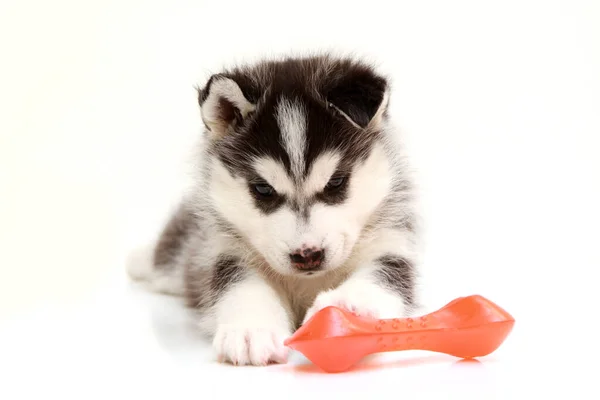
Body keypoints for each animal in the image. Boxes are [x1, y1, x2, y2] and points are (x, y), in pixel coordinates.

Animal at [127, 53, 418, 366]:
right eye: (263, 189)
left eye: (336, 182)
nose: (308, 255)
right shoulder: (227, 254)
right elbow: (242, 286)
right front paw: (251, 328)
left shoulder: (392, 246)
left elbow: (380, 277)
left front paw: (349, 307)